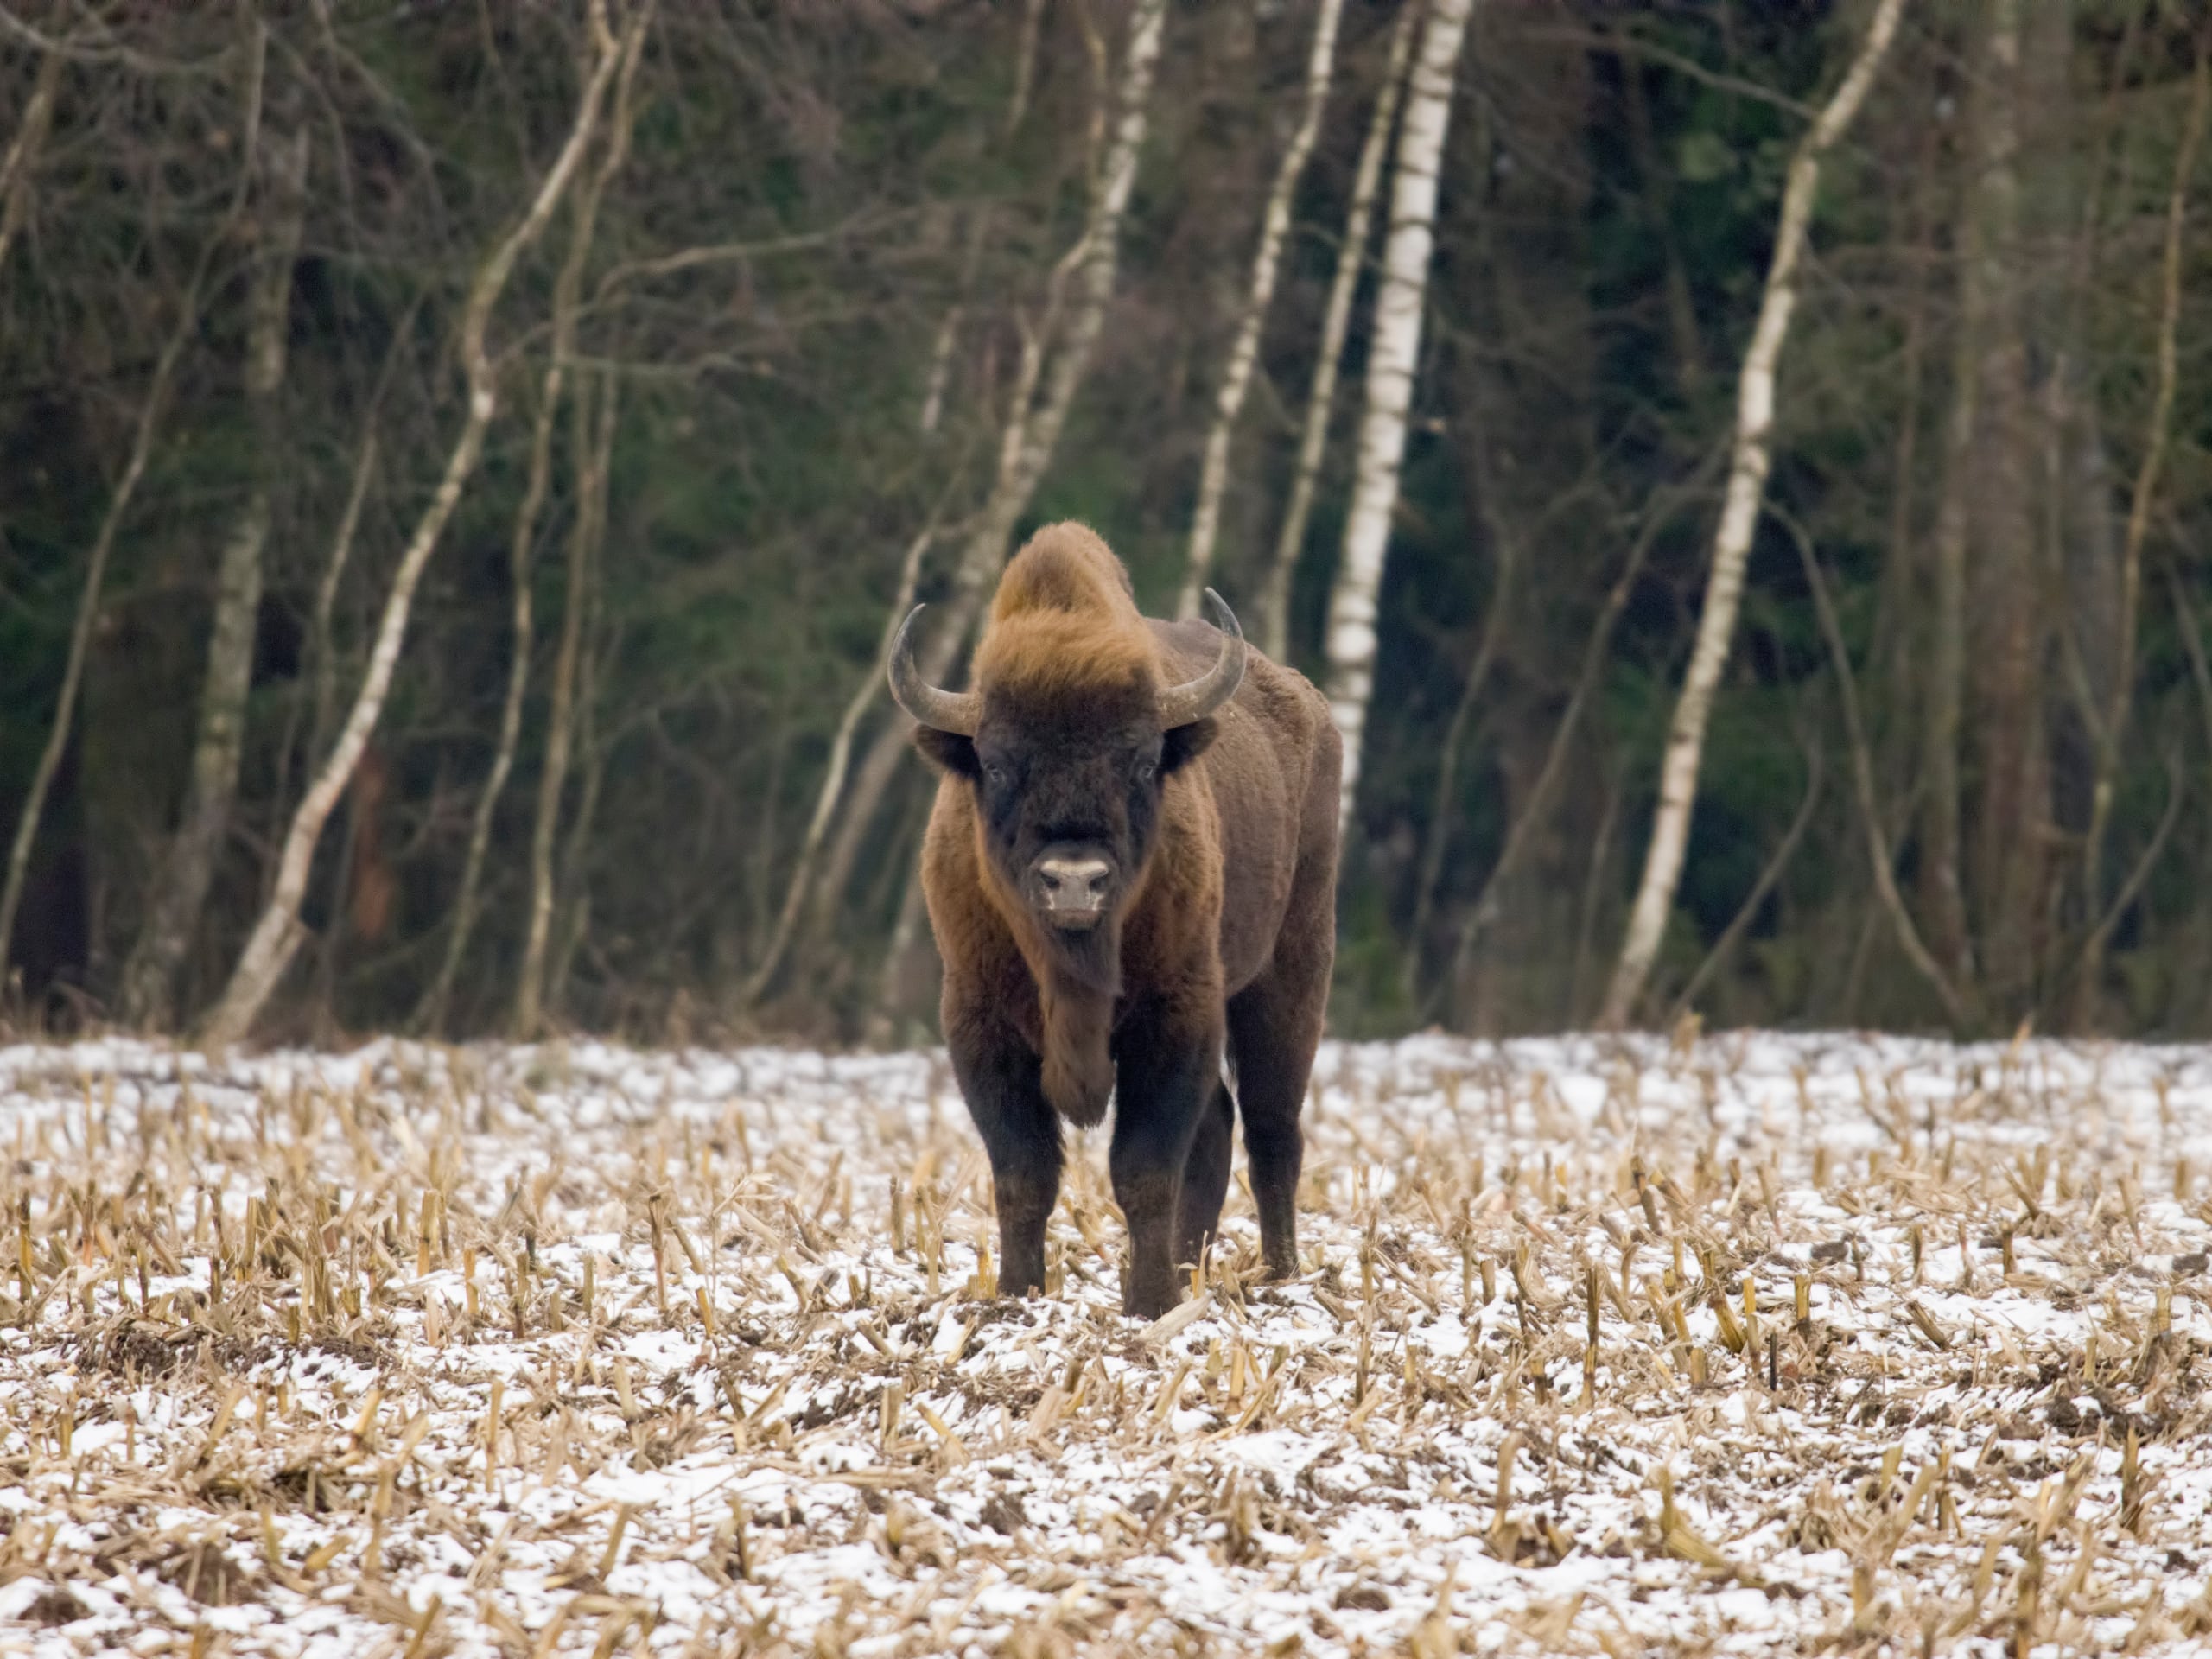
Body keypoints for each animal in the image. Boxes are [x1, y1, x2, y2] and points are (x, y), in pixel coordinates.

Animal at [889, 526, 1336, 1318]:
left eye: (1141, 758)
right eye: (996, 765)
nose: (1074, 879)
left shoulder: (1174, 1015)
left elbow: (1144, 1169)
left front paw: (1150, 1304)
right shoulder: (979, 1025)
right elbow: (1023, 1174)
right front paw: (1018, 1296)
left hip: (1288, 977)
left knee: (1272, 1132)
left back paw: (1279, 1278)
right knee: (1222, 1130)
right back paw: (1196, 1270)